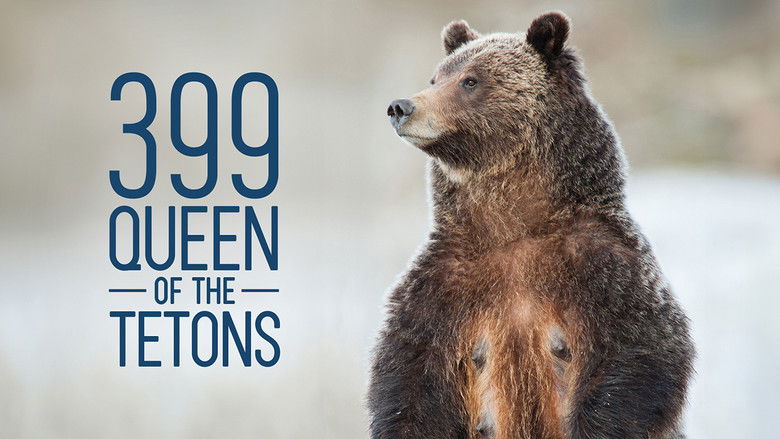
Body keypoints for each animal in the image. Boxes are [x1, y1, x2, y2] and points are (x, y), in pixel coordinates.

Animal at [368, 11, 694, 439]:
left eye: (470, 80)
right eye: (436, 78)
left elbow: (639, 355)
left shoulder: (606, 267)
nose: (400, 106)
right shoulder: (441, 284)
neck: (514, 224)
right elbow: (410, 379)